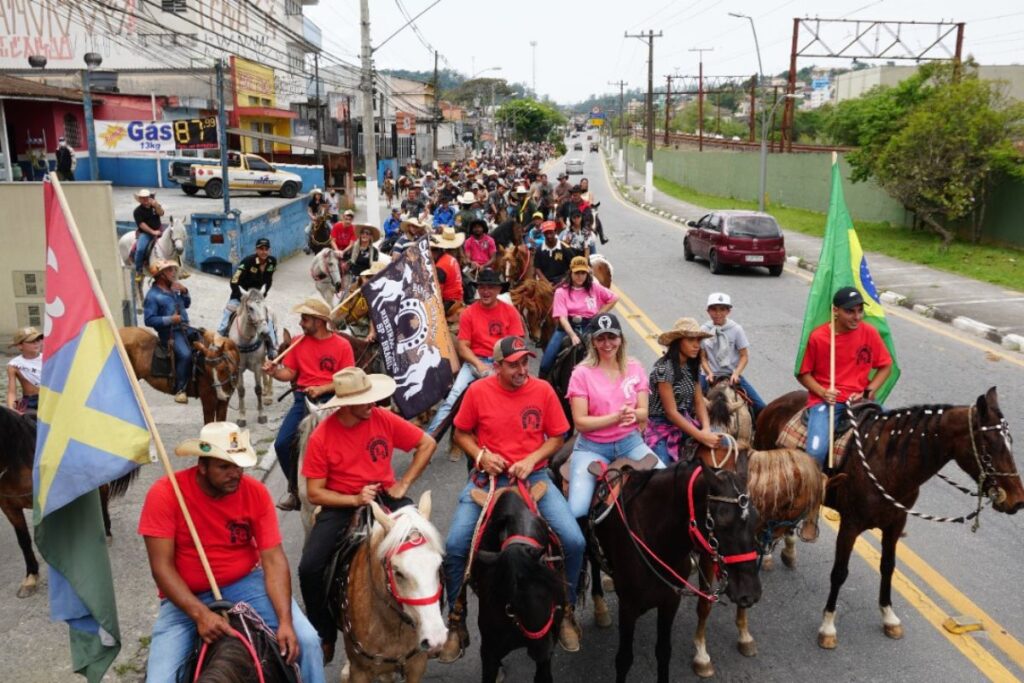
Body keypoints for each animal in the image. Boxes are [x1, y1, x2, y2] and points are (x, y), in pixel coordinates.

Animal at [593, 456, 761, 679]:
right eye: (720, 522)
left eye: (756, 519)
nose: (750, 593)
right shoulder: (628, 606)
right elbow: (624, 659)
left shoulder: (671, 600)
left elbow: (664, 652)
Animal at [757, 387, 1019, 651]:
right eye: (989, 447)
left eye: (1011, 442)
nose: (1017, 500)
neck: (889, 464)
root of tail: (777, 403)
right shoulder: (850, 524)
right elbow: (839, 572)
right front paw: (828, 626)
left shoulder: (896, 523)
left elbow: (888, 566)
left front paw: (889, 617)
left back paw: (788, 550)